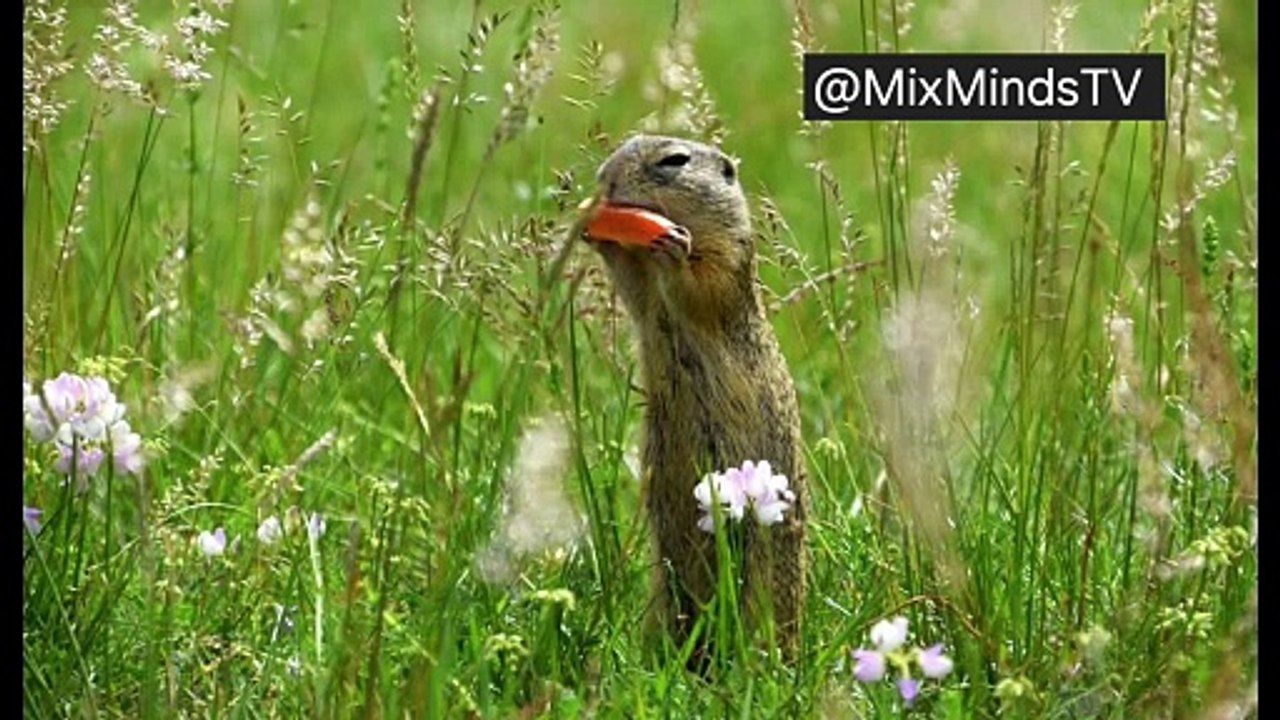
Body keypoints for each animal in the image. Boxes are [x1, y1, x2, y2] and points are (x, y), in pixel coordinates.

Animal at [584, 134, 809, 663]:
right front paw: (598, 232)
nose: (605, 179)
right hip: (664, 595)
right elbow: (633, 288)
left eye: (675, 161)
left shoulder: (729, 262)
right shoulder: (644, 293)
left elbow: (702, 287)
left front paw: (673, 248)